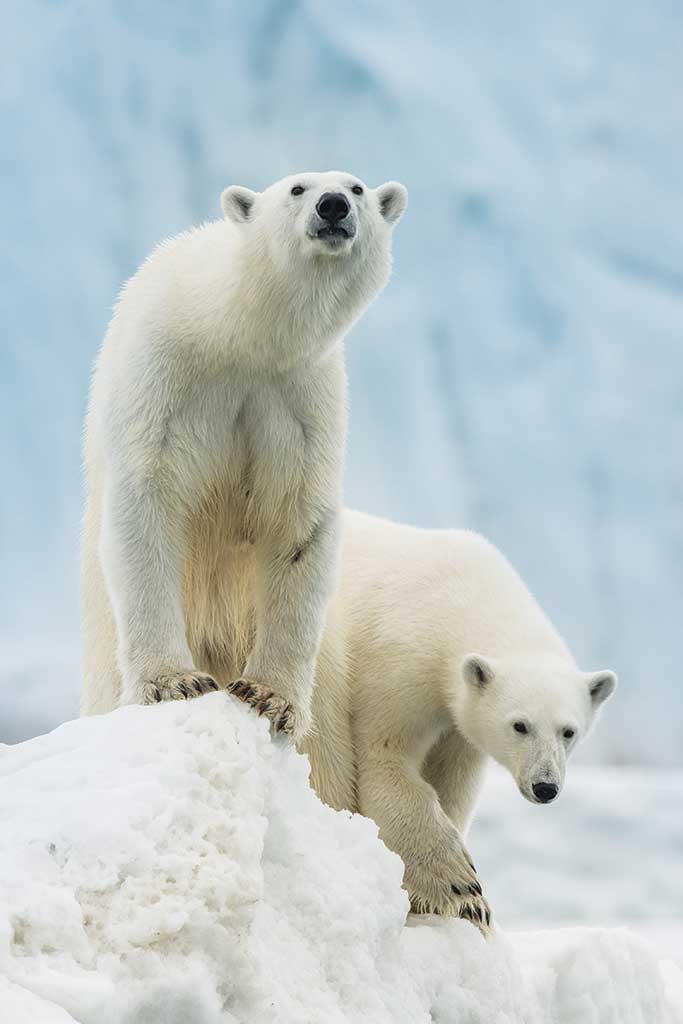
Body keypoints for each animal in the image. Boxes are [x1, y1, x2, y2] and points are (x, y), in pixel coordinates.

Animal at [82, 169, 409, 745]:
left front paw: (268, 696)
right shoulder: (165, 373)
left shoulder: (300, 399)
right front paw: (174, 682)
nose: (333, 206)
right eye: (298, 188)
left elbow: (298, 522)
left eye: (358, 187)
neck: (239, 334)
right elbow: (148, 499)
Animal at [301, 509, 618, 929]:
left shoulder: (458, 725)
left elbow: (453, 780)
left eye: (569, 732)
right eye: (520, 725)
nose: (545, 786)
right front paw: (460, 889)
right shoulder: (395, 665)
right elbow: (385, 760)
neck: (460, 600)